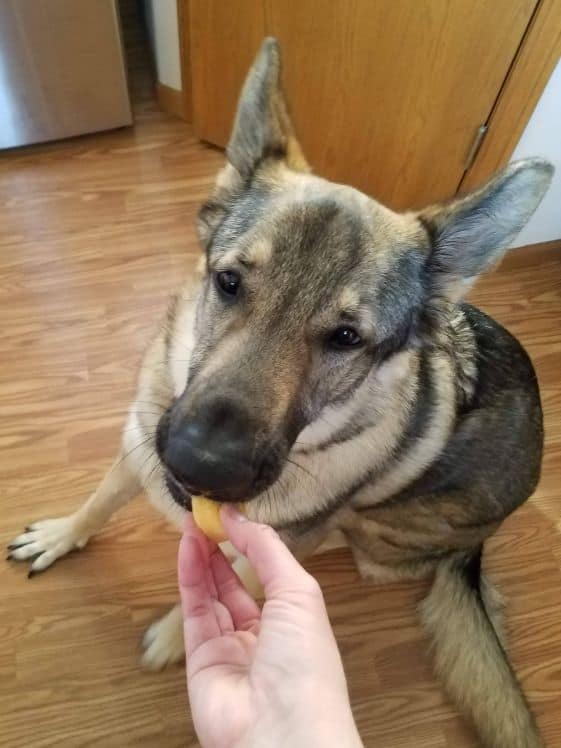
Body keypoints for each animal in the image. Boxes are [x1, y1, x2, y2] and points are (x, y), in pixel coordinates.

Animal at [7, 41, 552, 748]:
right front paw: (63, 534)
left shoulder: (284, 543)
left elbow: (242, 576)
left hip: (378, 530)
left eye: (346, 337)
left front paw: (179, 634)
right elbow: (99, 502)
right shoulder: (139, 444)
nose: (202, 465)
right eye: (229, 283)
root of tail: (475, 551)